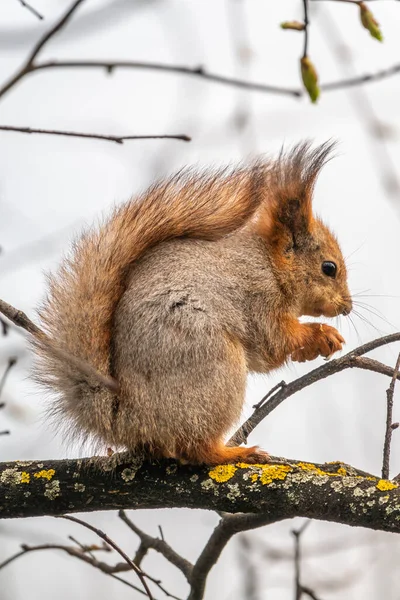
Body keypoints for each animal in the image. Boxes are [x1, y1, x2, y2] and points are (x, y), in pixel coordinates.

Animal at [26, 139, 350, 464]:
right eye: (329, 268)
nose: (347, 308)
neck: (270, 264)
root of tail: (127, 417)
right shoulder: (258, 297)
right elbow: (274, 341)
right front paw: (322, 334)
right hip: (214, 369)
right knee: (195, 447)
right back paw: (232, 453)